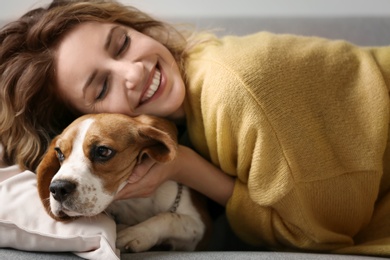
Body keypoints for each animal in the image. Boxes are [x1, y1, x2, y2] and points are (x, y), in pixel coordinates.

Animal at [35, 114, 207, 252]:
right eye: (59, 152)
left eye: (103, 151)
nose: (58, 189)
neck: (134, 203)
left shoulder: (198, 227)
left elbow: (169, 217)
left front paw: (137, 233)